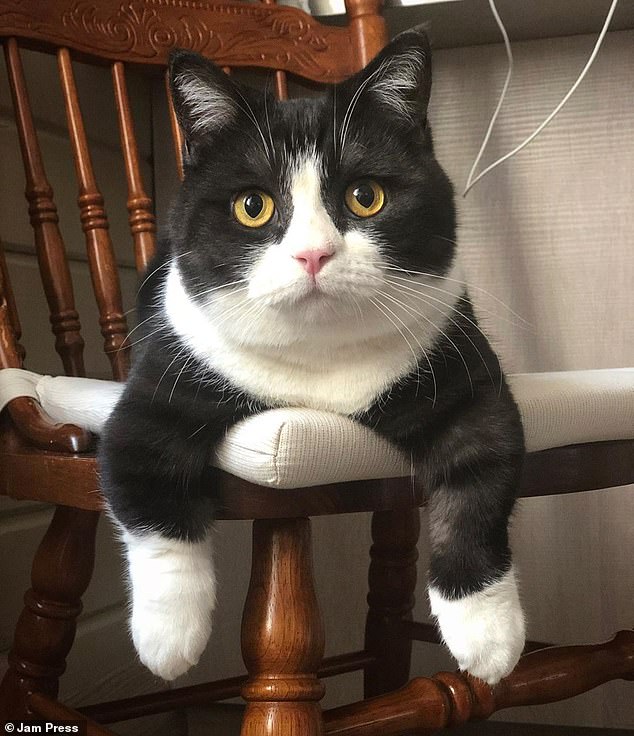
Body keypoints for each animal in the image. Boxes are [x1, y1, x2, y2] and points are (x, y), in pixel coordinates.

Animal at [98, 27, 526, 685]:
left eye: (366, 196)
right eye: (252, 206)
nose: (313, 254)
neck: (319, 359)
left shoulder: (465, 381)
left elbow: (480, 482)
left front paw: (489, 635)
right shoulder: (157, 389)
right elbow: (147, 496)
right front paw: (168, 639)